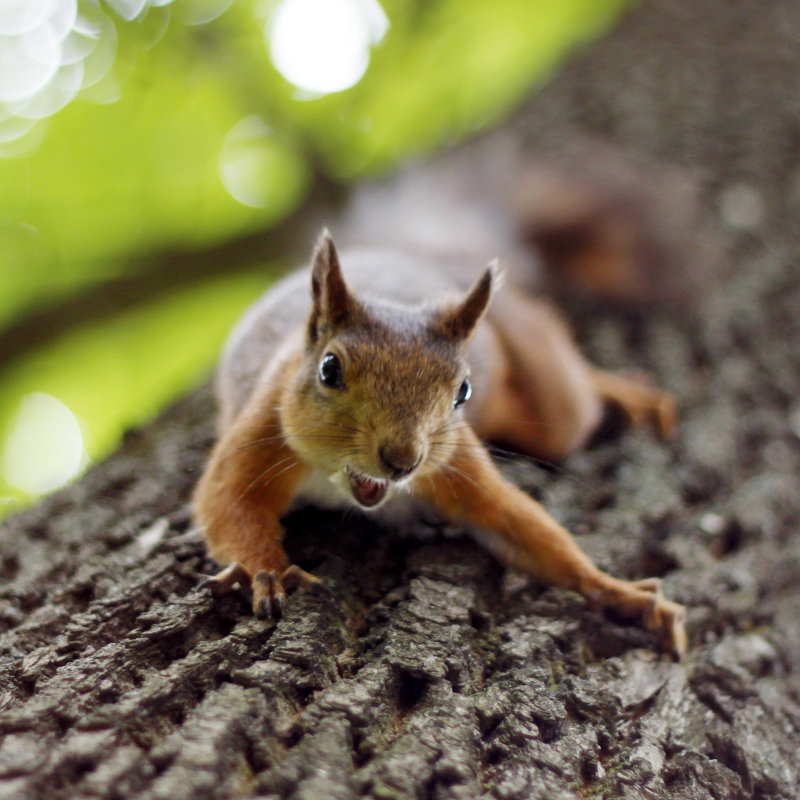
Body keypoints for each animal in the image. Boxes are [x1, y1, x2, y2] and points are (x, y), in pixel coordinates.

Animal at [194, 141, 708, 660]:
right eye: (329, 369)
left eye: (463, 391)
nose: (403, 460)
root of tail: (420, 257)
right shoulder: (263, 429)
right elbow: (229, 503)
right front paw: (267, 570)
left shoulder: (455, 462)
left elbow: (522, 527)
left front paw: (619, 593)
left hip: (546, 394)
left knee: (569, 405)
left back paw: (619, 389)